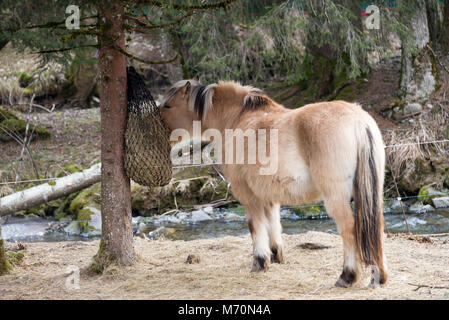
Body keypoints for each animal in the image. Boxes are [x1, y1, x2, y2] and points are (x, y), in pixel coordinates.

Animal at [159, 77, 386, 288]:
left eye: (168, 105)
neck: (236, 119)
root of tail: (358, 121)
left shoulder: (248, 194)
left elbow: (256, 226)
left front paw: (260, 262)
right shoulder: (268, 194)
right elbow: (273, 223)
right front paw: (276, 255)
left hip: (335, 198)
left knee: (349, 228)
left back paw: (347, 276)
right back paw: (379, 275)